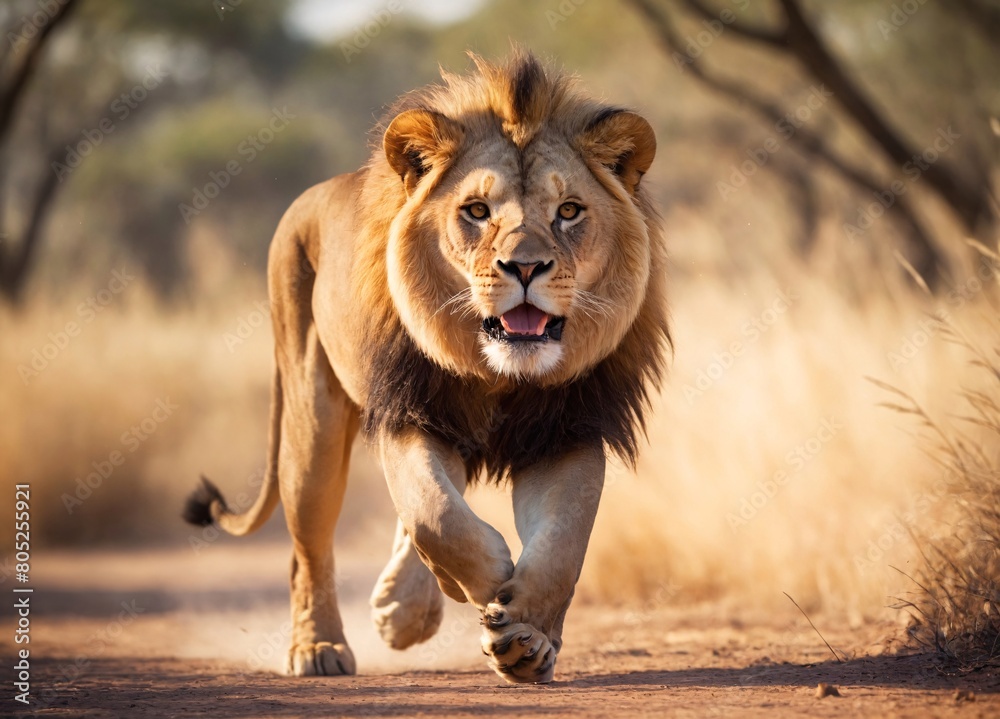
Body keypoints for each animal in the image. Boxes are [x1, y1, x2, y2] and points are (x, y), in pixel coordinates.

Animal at [183, 50, 670, 684]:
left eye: (568, 212)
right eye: (476, 211)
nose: (526, 267)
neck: (500, 375)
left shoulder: (567, 429)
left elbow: (566, 540)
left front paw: (527, 635)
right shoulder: (411, 412)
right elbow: (436, 516)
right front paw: (491, 583)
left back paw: (403, 609)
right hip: (310, 421)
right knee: (310, 545)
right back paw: (319, 647)